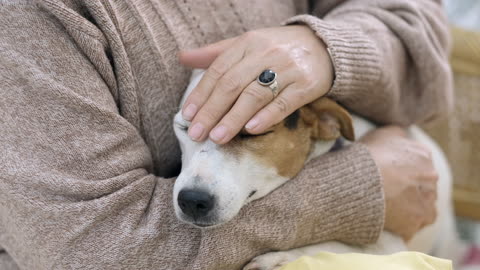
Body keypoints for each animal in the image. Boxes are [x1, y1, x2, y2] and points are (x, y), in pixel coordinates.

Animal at [174, 70, 460, 270]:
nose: (192, 200)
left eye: (252, 133)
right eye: (185, 128)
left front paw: (281, 258)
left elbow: (335, 249)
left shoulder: (390, 245)